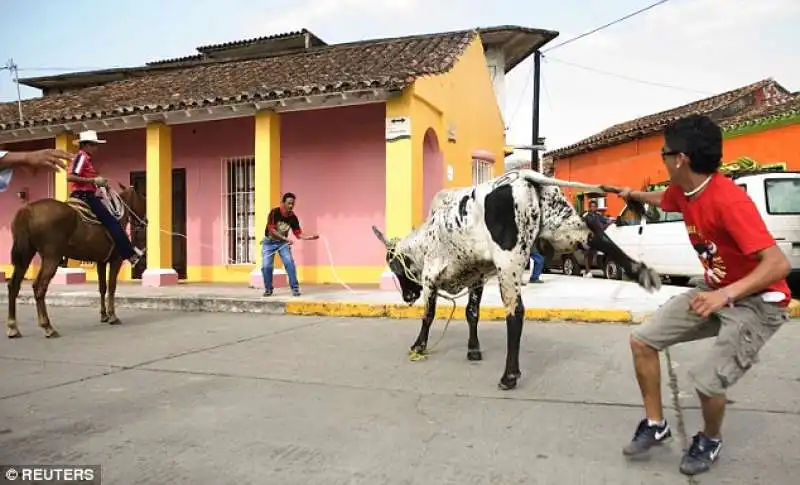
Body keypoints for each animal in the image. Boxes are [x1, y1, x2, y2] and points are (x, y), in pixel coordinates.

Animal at [5, 183, 147, 338]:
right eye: (143, 199)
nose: (145, 222)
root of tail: (28, 210)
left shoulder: (101, 261)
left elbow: (102, 287)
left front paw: (104, 315)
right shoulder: (116, 260)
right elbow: (112, 287)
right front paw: (112, 316)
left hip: (25, 255)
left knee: (13, 286)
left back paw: (13, 327)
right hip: (51, 258)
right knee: (39, 288)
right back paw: (48, 327)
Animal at [372, 169, 660, 390]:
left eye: (394, 266)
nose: (407, 297)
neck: (425, 238)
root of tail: (524, 176)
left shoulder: (431, 277)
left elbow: (428, 316)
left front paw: (419, 346)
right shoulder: (477, 278)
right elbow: (472, 313)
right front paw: (473, 349)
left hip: (509, 260)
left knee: (515, 311)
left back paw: (509, 375)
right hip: (562, 229)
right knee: (595, 234)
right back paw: (641, 271)